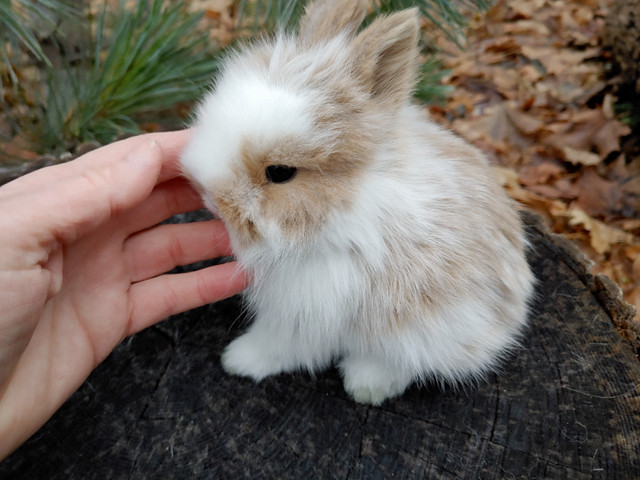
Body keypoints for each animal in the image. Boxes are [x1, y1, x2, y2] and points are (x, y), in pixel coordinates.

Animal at [179, 0, 536, 404]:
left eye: (280, 172)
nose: (210, 196)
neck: (342, 210)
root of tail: (512, 312)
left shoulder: (307, 309)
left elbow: (280, 345)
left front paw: (238, 360)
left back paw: (366, 386)